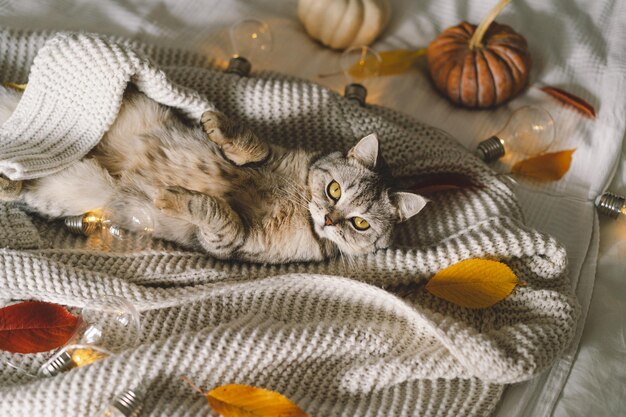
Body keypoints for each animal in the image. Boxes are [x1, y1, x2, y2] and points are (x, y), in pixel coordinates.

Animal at [0, 86, 424, 264]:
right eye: (334, 189)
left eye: (360, 223)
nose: (330, 218)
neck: (297, 204)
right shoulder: (273, 153)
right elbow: (255, 146)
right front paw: (215, 124)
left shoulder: (229, 243)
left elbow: (218, 213)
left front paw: (170, 196)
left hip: (64, 185)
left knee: (19, 182)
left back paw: (9, 180)